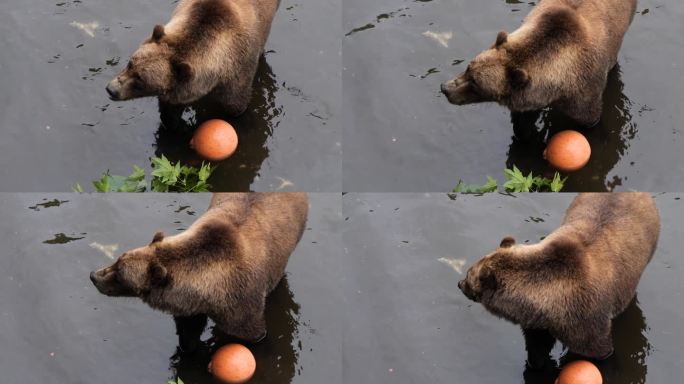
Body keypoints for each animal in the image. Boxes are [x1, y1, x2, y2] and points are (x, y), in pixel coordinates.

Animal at [90, 192, 308, 352]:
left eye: (120, 275)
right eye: (118, 259)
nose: (94, 276)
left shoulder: (241, 304)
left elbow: (252, 333)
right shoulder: (189, 308)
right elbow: (188, 333)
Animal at [440, 0, 640, 125]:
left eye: (476, 84)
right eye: (469, 67)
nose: (445, 88)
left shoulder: (585, 93)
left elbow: (588, 120)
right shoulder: (527, 97)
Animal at [456, 194, 660, 368]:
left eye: (468, 274)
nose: (459, 284)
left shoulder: (587, 321)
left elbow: (599, 351)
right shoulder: (538, 325)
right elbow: (537, 349)